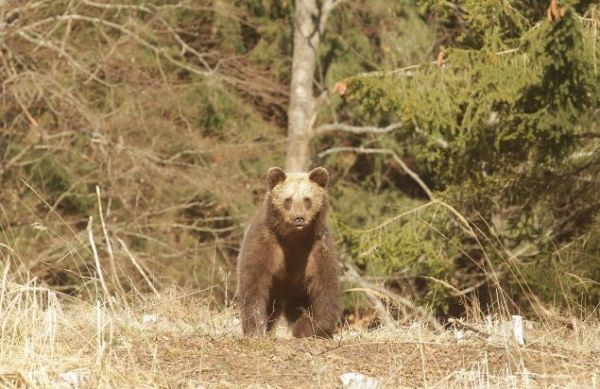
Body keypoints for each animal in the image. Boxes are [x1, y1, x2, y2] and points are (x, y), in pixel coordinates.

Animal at [236, 166, 340, 336]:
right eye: (288, 199)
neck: (294, 236)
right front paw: (255, 329)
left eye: (307, 199)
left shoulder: (317, 248)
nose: (299, 218)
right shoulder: (266, 243)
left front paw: (310, 327)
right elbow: (254, 283)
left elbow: (325, 285)